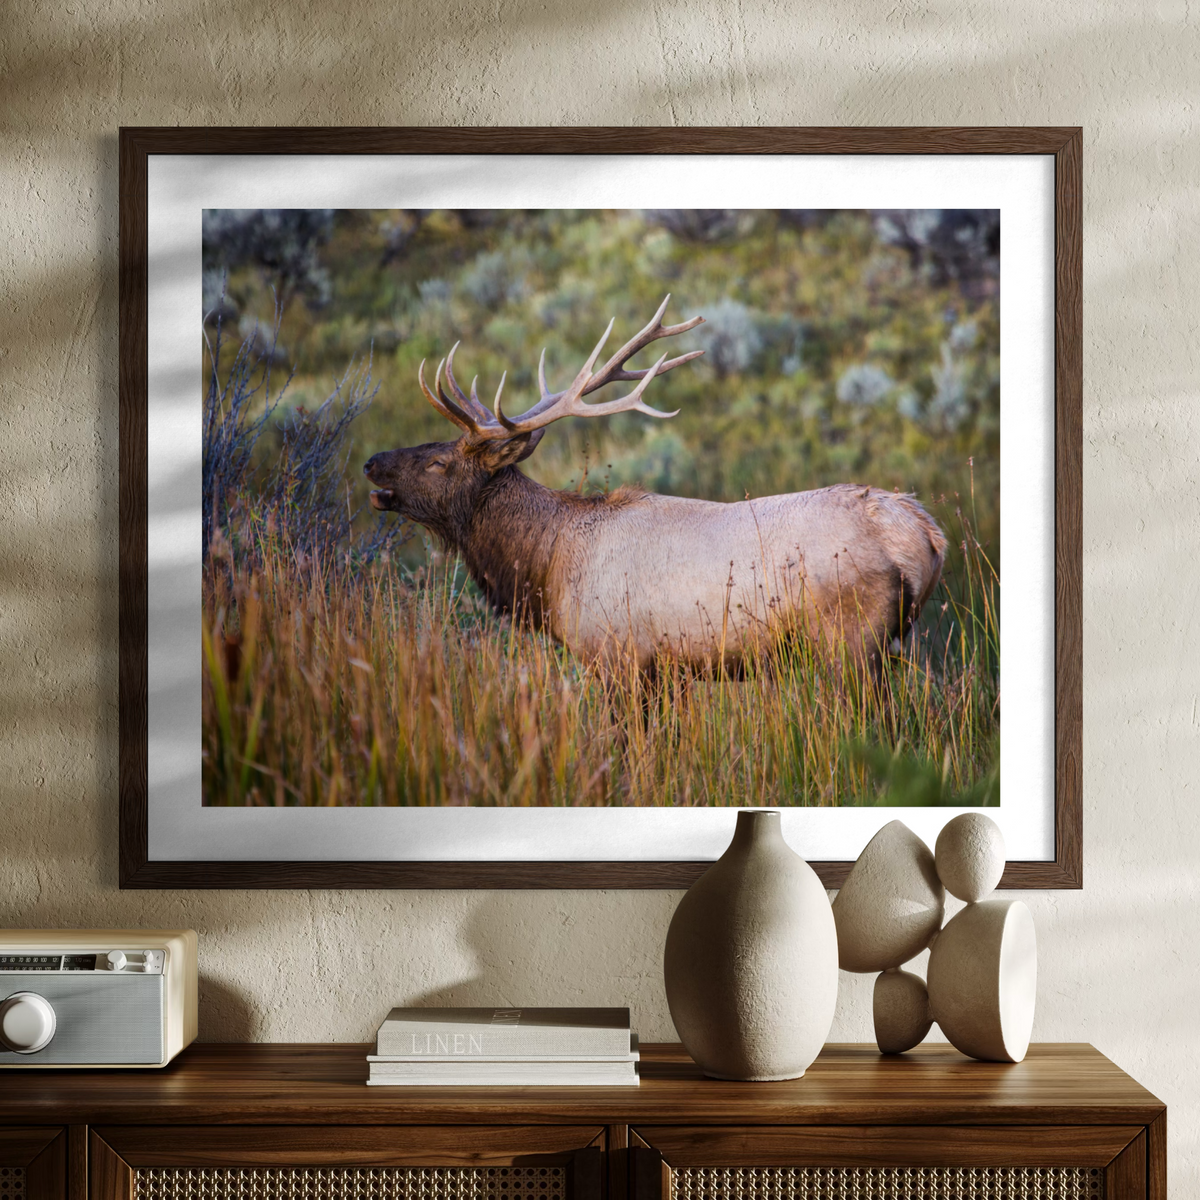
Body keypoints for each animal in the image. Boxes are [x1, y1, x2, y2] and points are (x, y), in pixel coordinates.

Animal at [364, 297, 947, 676]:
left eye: (438, 461)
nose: (371, 463)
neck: (547, 567)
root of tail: (923, 533)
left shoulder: (617, 655)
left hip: (850, 640)